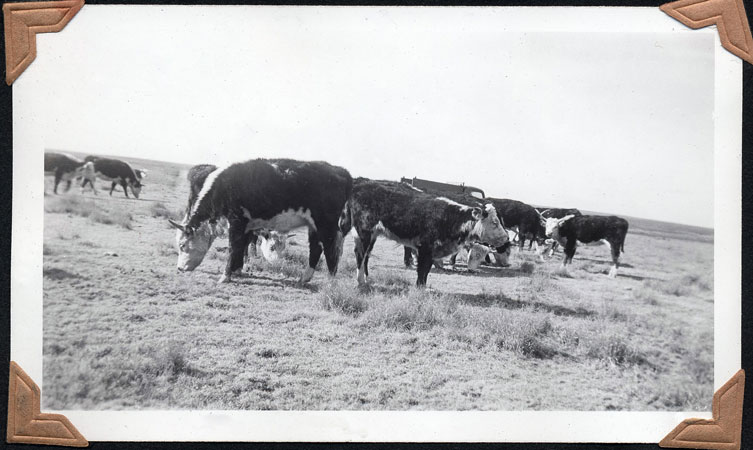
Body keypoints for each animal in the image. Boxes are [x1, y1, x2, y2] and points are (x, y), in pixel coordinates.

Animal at [169, 158, 352, 284]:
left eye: (182, 245)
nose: (179, 268)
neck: (222, 187)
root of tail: (340, 170)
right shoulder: (246, 226)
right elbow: (242, 247)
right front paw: (237, 270)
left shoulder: (236, 221)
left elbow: (234, 248)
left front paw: (225, 276)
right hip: (313, 226)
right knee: (316, 249)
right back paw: (304, 278)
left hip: (325, 225)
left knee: (330, 251)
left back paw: (330, 283)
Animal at [342, 178, 512, 286]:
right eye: (495, 222)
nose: (505, 237)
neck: (449, 217)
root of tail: (360, 184)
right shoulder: (424, 249)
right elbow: (422, 271)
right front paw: (419, 289)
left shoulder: (432, 251)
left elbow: (426, 271)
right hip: (364, 231)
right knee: (360, 254)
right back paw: (360, 282)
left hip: (372, 234)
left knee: (366, 255)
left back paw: (365, 279)